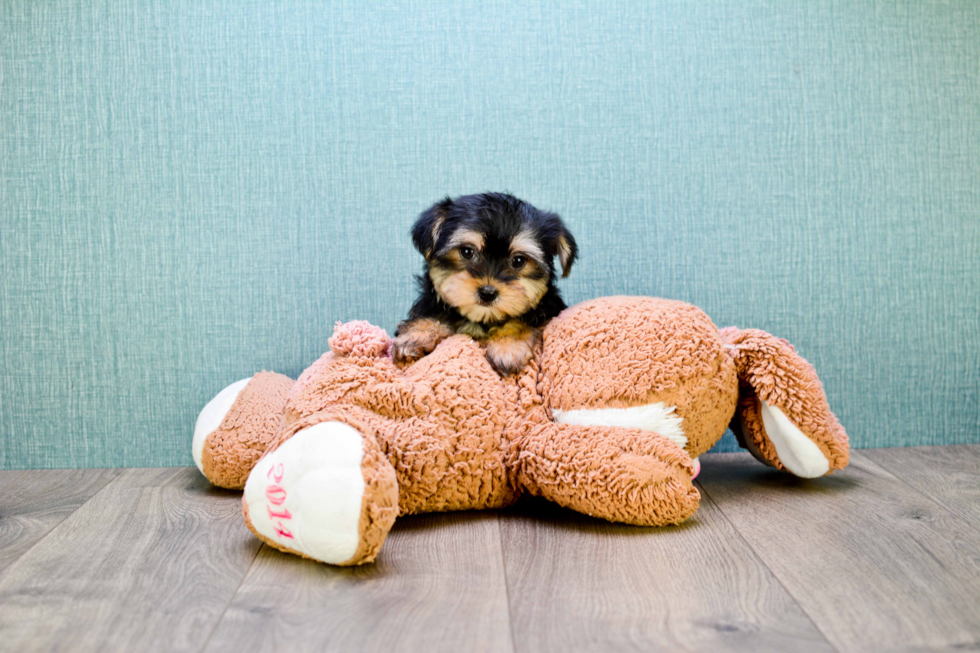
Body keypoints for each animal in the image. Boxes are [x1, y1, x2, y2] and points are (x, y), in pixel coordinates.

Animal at [390, 191, 576, 374]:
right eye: (467, 252)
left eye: (518, 261)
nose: (488, 293)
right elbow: (432, 316)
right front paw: (416, 334)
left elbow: (519, 321)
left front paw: (508, 346)